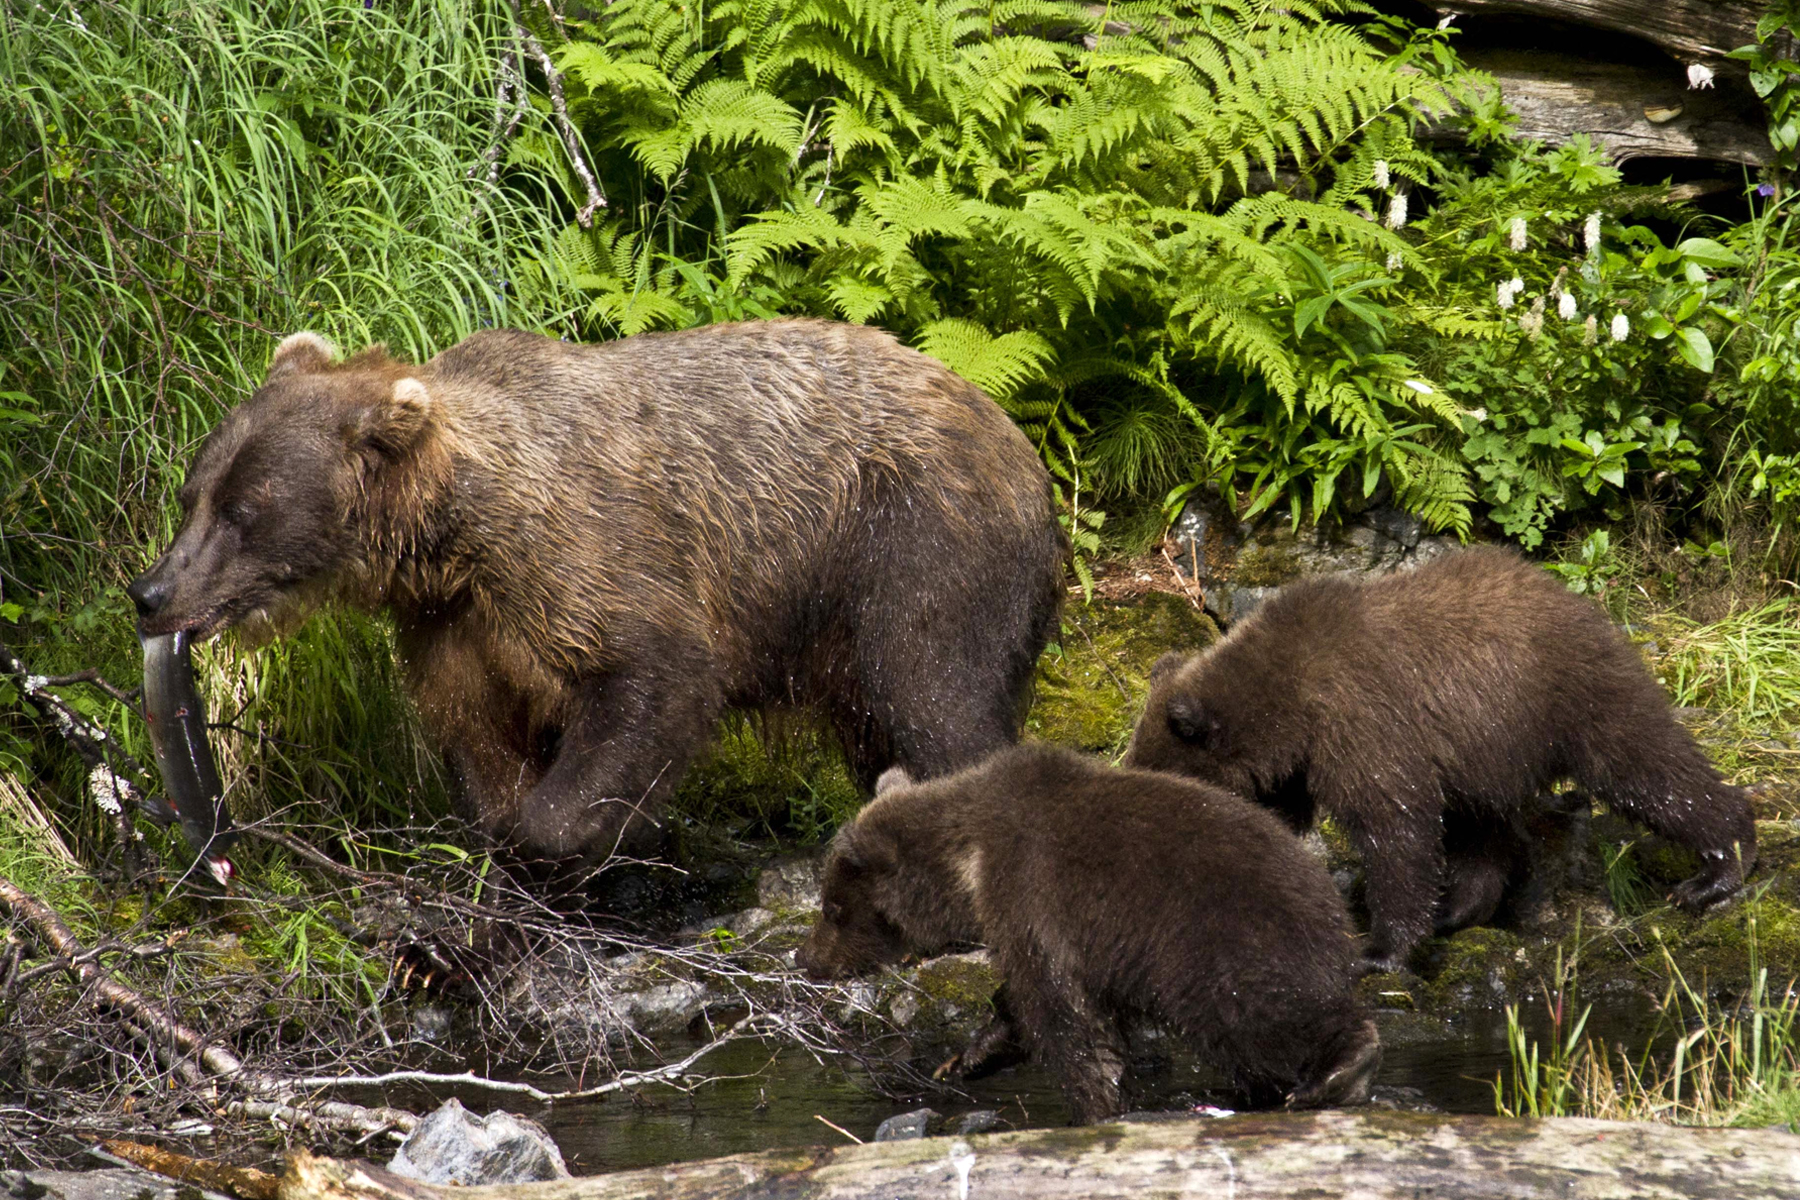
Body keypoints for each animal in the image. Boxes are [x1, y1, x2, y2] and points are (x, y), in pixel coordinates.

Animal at [130, 318, 1065, 863]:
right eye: (192, 493)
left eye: (246, 511)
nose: (150, 591)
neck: (452, 534)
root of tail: (1027, 453)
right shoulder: (452, 622)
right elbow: (476, 732)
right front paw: (505, 829)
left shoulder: (583, 555)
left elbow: (654, 676)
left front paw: (594, 828)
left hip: (911, 544)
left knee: (936, 696)